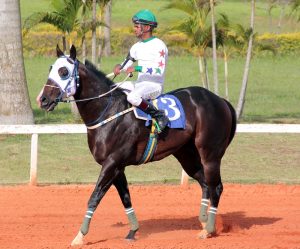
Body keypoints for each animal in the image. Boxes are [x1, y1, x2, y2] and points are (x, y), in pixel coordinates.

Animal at [39, 45, 237, 246]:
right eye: (50, 68)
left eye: (63, 72)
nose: (43, 99)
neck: (108, 112)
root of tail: (220, 100)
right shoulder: (117, 167)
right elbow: (125, 198)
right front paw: (132, 231)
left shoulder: (112, 162)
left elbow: (94, 197)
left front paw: (79, 236)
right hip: (186, 155)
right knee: (205, 184)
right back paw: (204, 223)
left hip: (210, 154)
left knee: (216, 187)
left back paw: (209, 229)